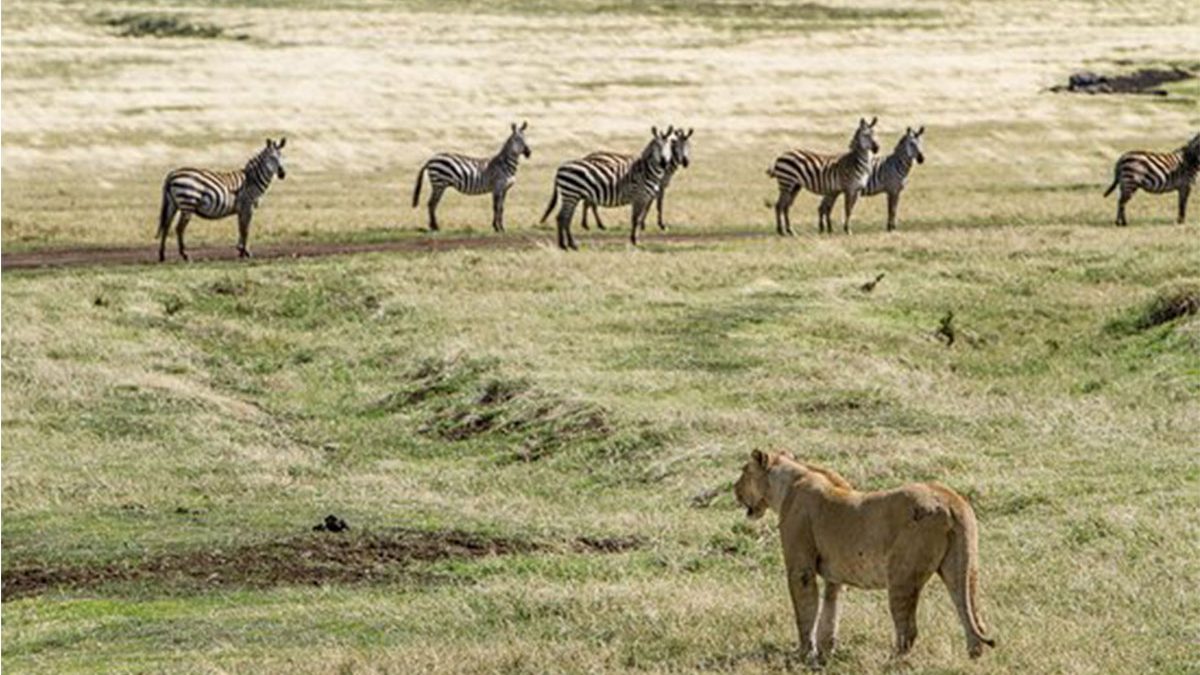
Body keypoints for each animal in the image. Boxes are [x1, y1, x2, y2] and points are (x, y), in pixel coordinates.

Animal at [156, 137, 286, 263]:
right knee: (179, 228)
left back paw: (162, 256)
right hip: (188, 203)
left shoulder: (241, 209)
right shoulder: (247, 206)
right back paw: (185, 255)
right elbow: (246, 229)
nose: (282, 174)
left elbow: (241, 228)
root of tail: (172, 174)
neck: (252, 179)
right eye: (271, 158)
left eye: (282, 157)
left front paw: (241, 250)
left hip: (172, 204)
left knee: (166, 226)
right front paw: (246, 252)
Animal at [542, 126, 676, 249]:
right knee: (563, 218)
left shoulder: (645, 198)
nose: (664, 163)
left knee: (563, 218)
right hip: (571, 194)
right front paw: (634, 241)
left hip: (572, 195)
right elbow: (636, 219)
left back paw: (566, 244)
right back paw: (568, 244)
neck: (647, 171)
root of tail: (560, 168)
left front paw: (635, 238)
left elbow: (638, 218)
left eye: (669, 146)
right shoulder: (639, 197)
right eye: (657, 146)